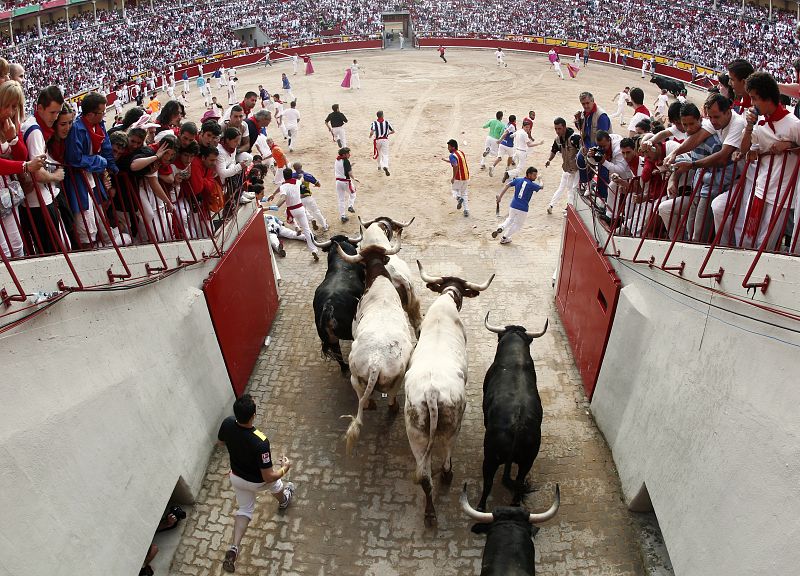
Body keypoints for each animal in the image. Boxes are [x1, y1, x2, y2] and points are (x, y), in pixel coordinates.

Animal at [406, 260, 494, 528]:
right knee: (445, 458)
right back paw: (448, 476)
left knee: (425, 477)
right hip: (453, 425)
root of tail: (432, 393)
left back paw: (429, 514)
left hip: (415, 434)